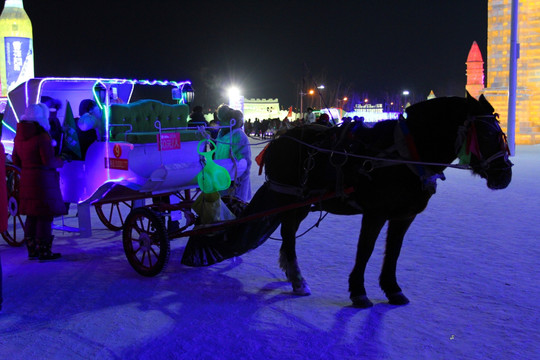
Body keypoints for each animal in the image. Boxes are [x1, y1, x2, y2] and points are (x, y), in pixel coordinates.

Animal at [181, 94, 510, 308]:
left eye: (501, 131)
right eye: (485, 133)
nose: (504, 175)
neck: (404, 154)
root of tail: (280, 139)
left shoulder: (403, 216)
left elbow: (393, 252)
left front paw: (392, 289)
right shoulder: (375, 213)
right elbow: (365, 251)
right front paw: (359, 292)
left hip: (299, 201)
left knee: (288, 233)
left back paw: (293, 275)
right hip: (291, 198)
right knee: (288, 235)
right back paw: (297, 278)